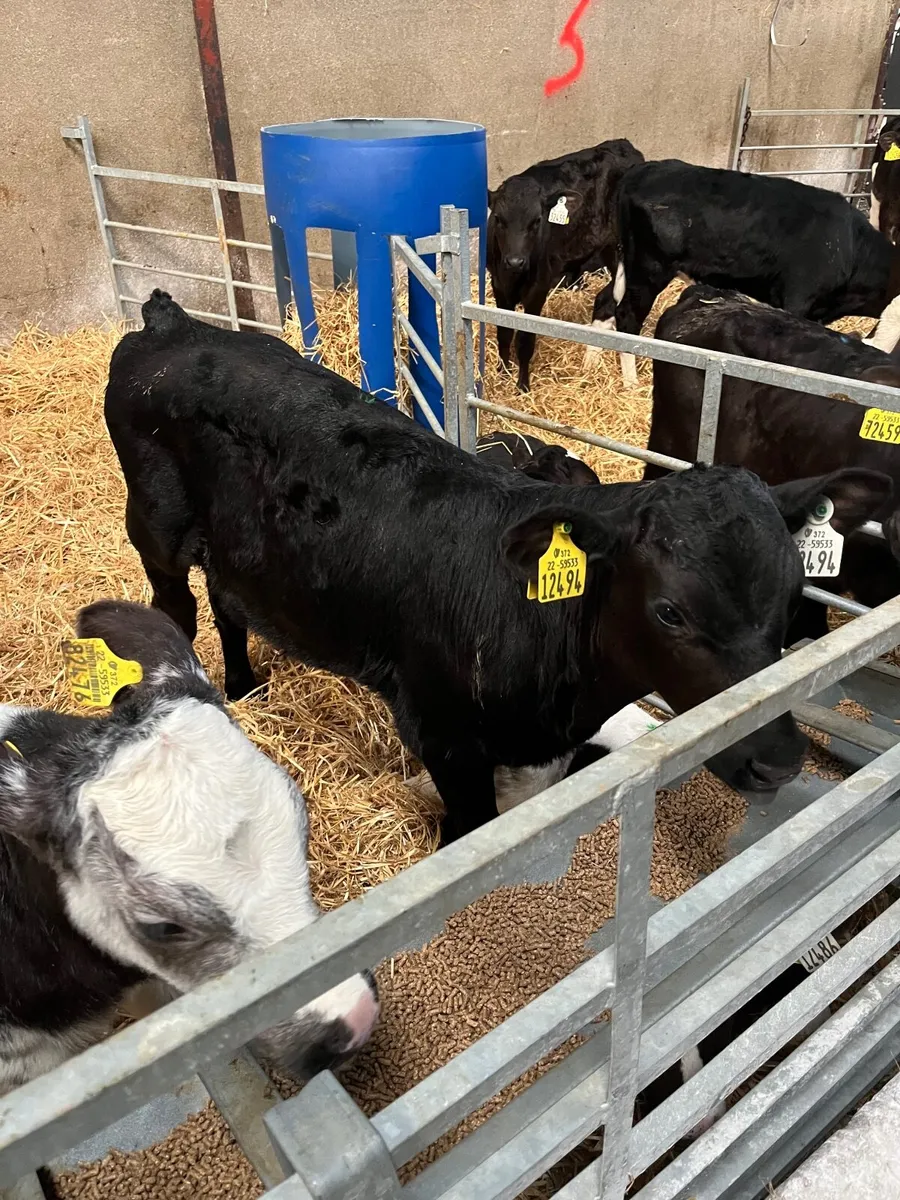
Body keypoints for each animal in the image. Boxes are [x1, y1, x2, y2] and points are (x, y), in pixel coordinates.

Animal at [487, 139, 644, 392]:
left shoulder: (538, 290)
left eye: (537, 221)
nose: (515, 261)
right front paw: (502, 374)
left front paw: (522, 387)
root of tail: (621, 144)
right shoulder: (499, 286)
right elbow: (504, 333)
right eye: (499, 219)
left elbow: (524, 340)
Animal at [603, 161, 900, 385]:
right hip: (649, 269)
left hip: (628, 264)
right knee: (627, 316)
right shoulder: (797, 300)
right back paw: (631, 382)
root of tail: (643, 169)